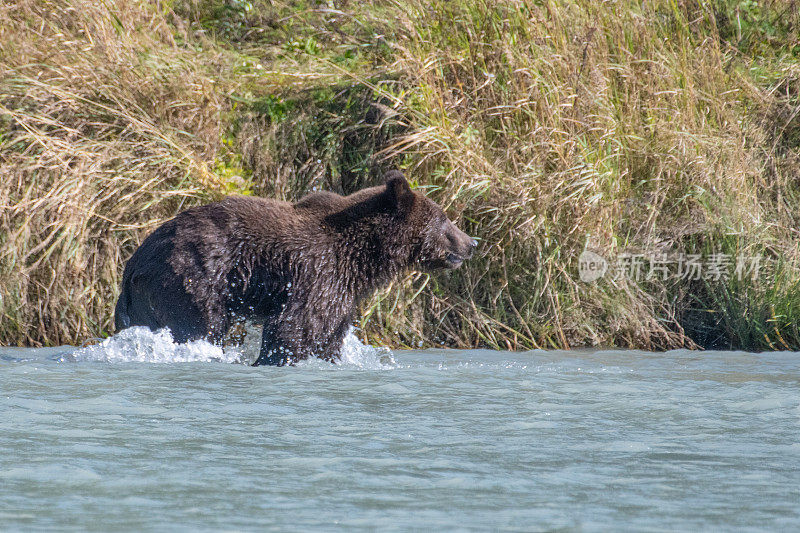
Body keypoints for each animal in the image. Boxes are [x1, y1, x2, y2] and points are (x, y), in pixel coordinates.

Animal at [112, 172, 476, 364]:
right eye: (444, 218)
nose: (471, 243)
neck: (366, 257)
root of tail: (132, 265)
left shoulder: (342, 292)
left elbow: (329, 335)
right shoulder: (320, 273)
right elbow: (295, 329)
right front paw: (275, 358)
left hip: (142, 300)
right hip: (190, 278)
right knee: (200, 326)